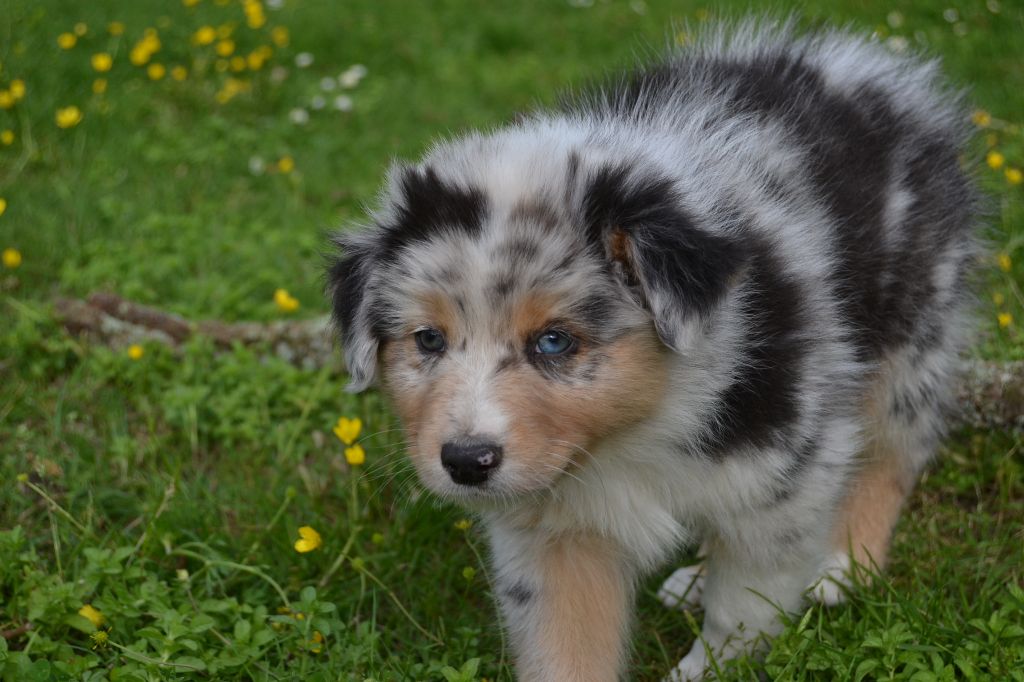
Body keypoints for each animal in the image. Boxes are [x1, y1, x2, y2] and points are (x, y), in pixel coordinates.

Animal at [326, 19, 978, 681]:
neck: (633, 433)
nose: (466, 461)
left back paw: (844, 564)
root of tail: (861, 63)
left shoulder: (787, 477)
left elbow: (744, 606)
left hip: (911, 334)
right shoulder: (553, 537)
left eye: (554, 341)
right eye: (428, 339)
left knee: (891, 455)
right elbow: (565, 648)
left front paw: (713, 660)